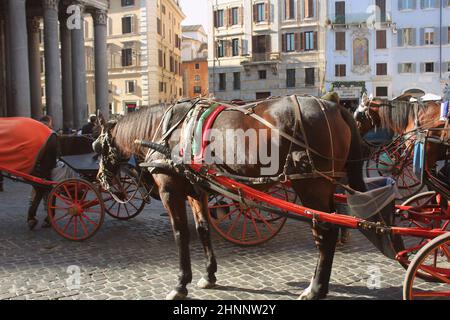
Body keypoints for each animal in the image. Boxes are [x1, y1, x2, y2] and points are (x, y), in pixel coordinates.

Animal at [93, 95, 368, 300]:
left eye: (97, 147)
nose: (101, 179)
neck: (166, 129)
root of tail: (335, 107)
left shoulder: (170, 190)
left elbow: (180, 234)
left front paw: (181, 284)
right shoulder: (197, 191)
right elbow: (203, 229)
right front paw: (209, 275)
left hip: (311, 185)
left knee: (325, 232)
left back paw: (315, 288)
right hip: (325, 186)